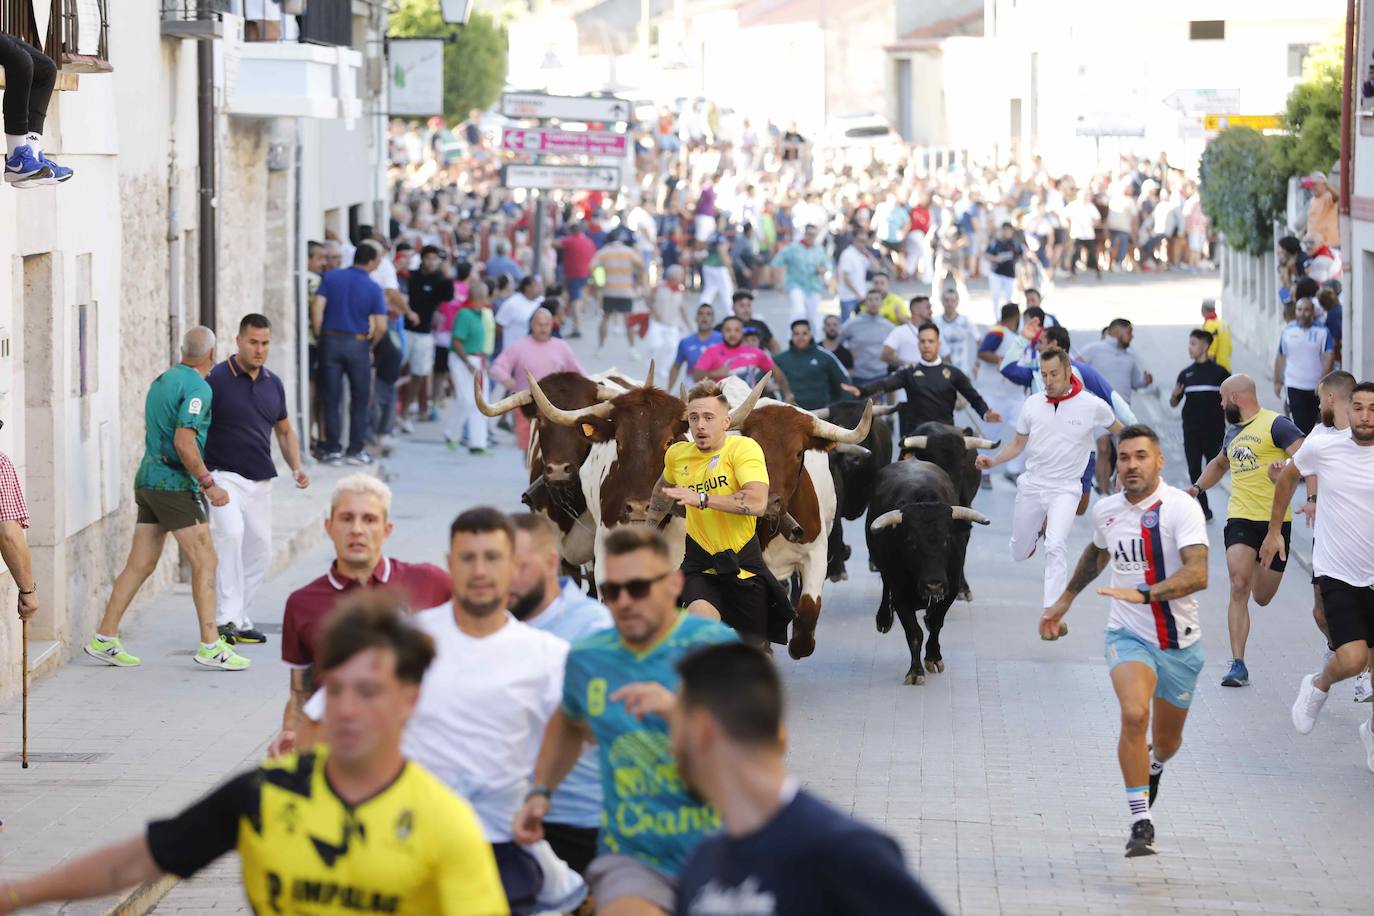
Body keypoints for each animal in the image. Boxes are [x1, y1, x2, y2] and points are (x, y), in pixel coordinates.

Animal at [868, 461, 989, 683]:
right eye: (911, 542)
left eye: (947, 540)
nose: (934, 584)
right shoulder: (900, 595)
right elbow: (914, 633)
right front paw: (915, 672)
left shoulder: (950, 589)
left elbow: (935, 623)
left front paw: (933, 657)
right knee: (885, 585)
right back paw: (884, 619)